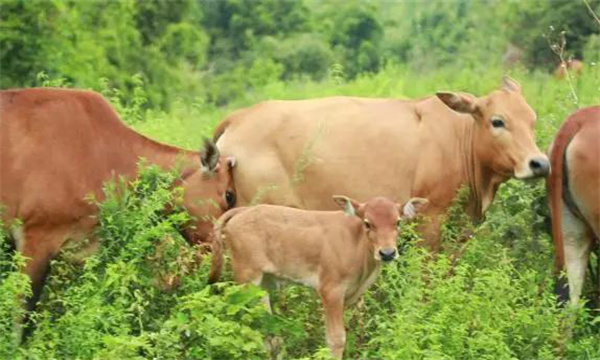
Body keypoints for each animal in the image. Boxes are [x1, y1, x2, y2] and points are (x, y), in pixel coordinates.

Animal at [209, 197, 428, 360]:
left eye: (398, 222)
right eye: (367, 223)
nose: (387, 253)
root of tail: (243, 211)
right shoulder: (330, 290)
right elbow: (336, 339)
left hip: (265, 283)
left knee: (270, 333)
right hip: (248, 279)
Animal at [214, 76, 548, 250]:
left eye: (533, 119)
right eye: (497, 121)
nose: (540, 163)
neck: (460, 137)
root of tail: (239, 117)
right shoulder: (430, 222)